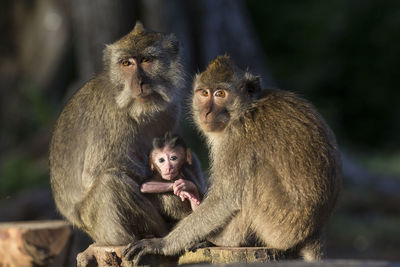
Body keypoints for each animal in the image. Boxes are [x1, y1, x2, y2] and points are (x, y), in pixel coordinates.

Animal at [49, 22, 203, 246]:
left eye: (146, 60)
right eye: (126, 63)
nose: (139, 82)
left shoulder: (170, 110)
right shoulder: (111, 118)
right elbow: (95, 172)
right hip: (101, 228)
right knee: (110, 182)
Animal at [123, 55, 342, 264]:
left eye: (220, 94)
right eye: (204, 93)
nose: (206, 112)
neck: (246, 109)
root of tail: (315, 232)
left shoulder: (236, 139)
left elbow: (224, 198)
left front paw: (162, 244)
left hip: (280, 225)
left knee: (252, 177)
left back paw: (226, 240)